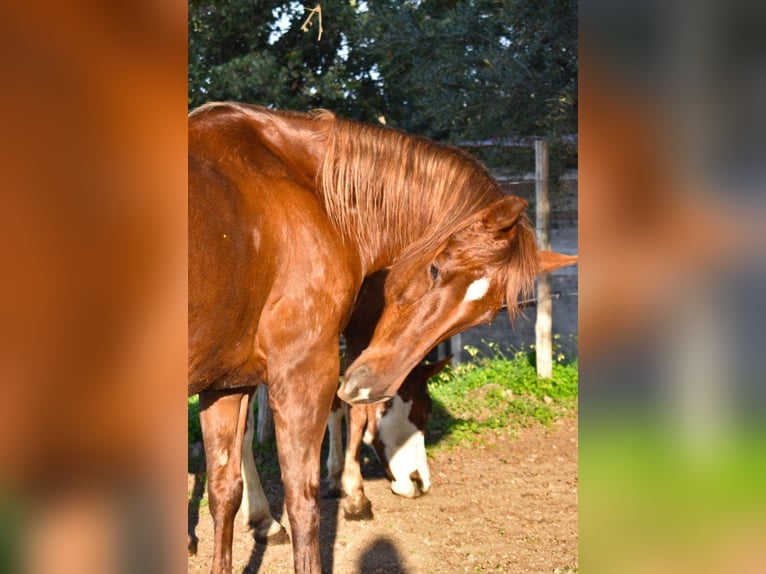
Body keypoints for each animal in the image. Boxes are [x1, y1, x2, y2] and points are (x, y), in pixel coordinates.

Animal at [190, 103, 540, 574]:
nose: (418, 482)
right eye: (435, 269)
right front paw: (348, 495)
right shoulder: (307, 371)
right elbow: (305, 496)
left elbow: (224, 491)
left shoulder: (228, 383)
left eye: (483, 314)